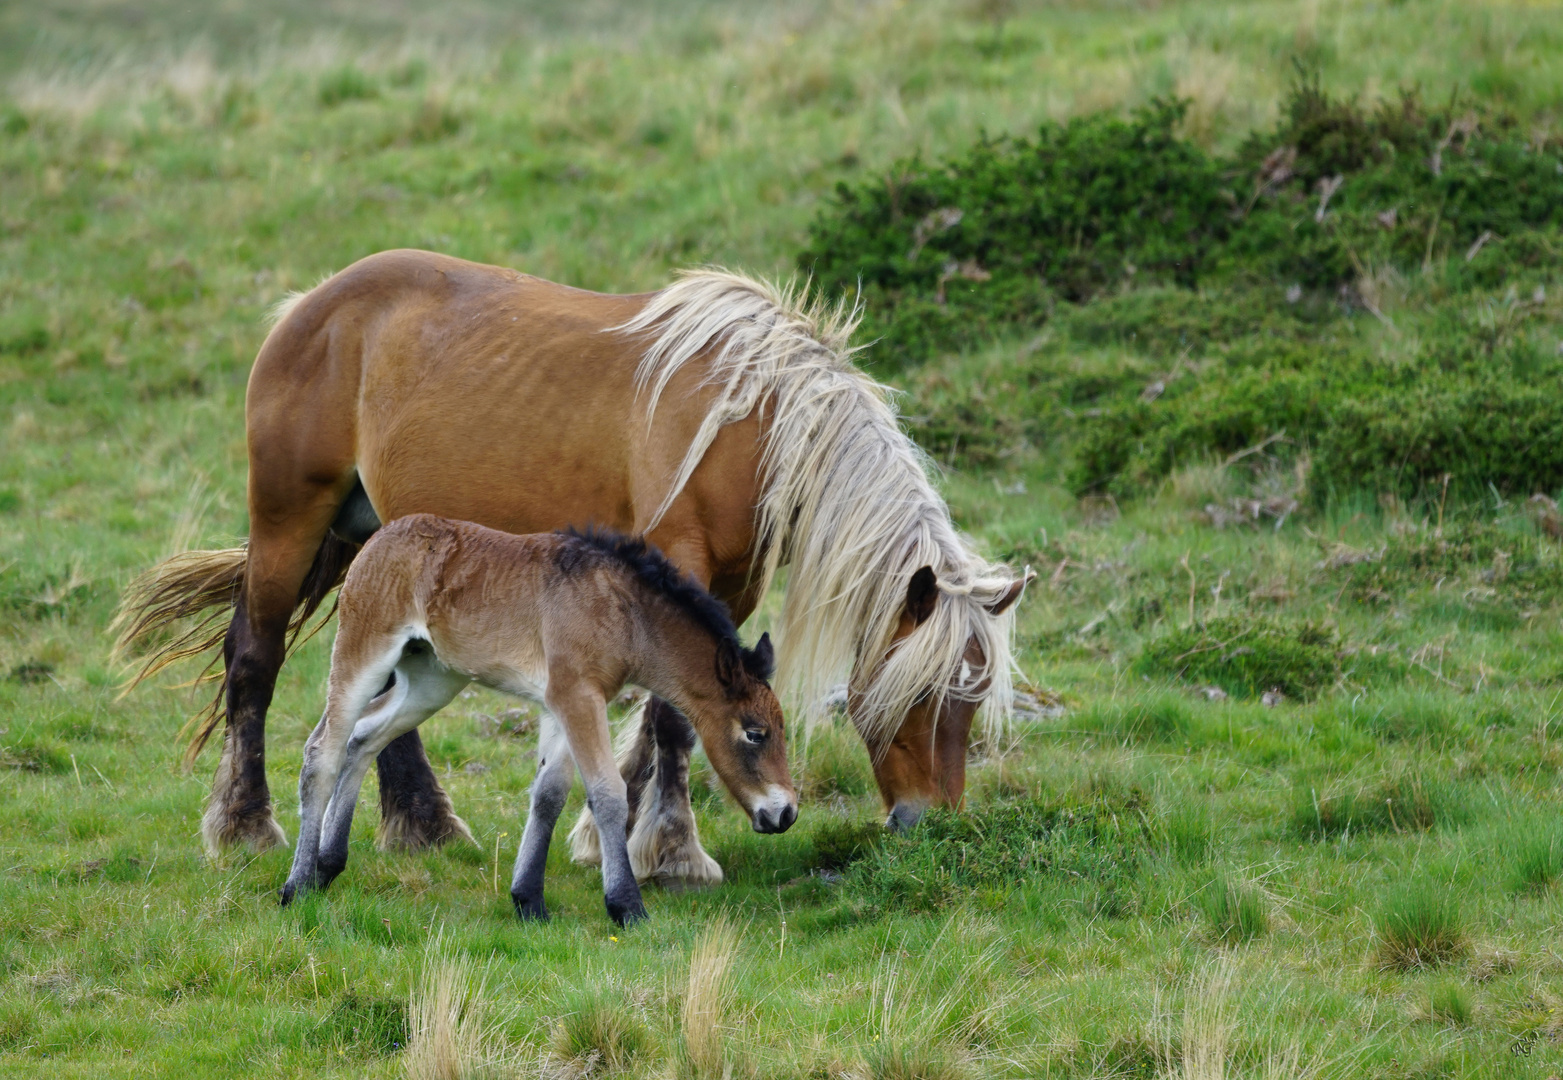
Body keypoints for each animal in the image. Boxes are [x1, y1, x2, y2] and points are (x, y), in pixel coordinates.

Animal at [278, 518, 794, 925]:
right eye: (755, 733)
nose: (785, 813)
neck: (625, 612)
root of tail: (379, 538)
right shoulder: (577, 696)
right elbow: (608, 794)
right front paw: (627, 906)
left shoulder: (562, 703)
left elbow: (549, 794)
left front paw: (528, 901)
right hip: (363, 652)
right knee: (323, 750)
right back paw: (298, 884)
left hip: (432, 680)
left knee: (364, 737)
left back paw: (328, 865)